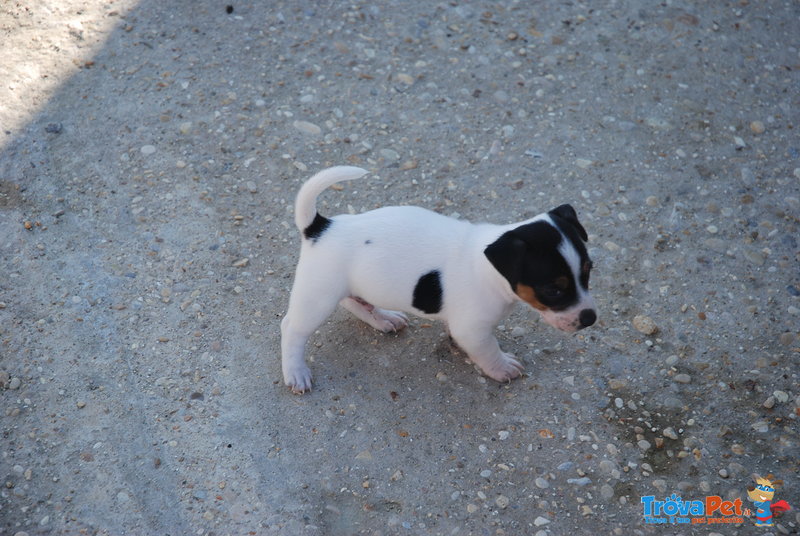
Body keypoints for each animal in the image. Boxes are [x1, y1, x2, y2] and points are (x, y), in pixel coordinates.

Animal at [282, 166, 592, 394]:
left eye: (589, 271)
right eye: (553, 289)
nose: (590, 318)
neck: (490, 271)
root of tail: (322, 227)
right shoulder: (473, 330)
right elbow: (488, 349)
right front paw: (502, 367)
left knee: (354, 301)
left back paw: (383, 318)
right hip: (318, 296)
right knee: (291, 329)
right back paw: (296, 372)